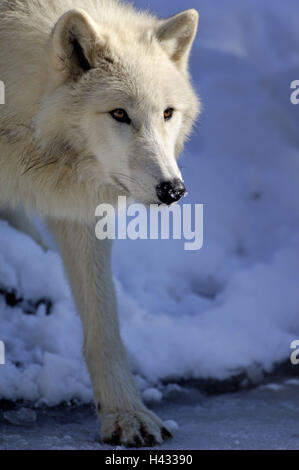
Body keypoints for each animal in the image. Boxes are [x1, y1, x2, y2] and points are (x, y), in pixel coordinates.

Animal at [0, 0, 202, 448]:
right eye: (119, 114)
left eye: (167, 113)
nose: (173, 190)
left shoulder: (81, 210)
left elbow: (105, 325)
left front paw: (126, 414)